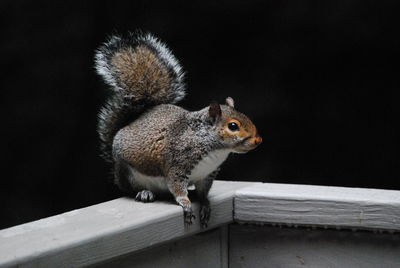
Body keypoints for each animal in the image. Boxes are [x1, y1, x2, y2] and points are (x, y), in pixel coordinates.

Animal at [94, 31, 262, 226]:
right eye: (233, 126)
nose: (258, 140)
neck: (212, 147)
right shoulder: (177, 165)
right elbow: (177, 187)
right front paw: (185, 203)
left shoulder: (207, 174)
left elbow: (204, 192)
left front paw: (205, 204)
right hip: (128, 173)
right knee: (131, 190)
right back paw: (144, 193)